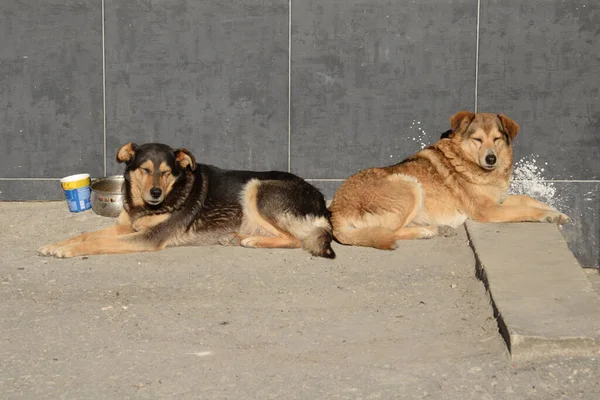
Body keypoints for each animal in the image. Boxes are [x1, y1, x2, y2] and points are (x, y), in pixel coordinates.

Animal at [39, 144, 336, 260]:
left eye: (166, 172)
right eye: (145, 169)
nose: (155, 193)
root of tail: (321, 202)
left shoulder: (146, 238)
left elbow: (96, 242)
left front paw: (68, 250)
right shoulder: (124, 227)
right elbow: (85, 234)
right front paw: (56, 245)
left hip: (256, 188)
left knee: (296, 239)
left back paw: (251, 240)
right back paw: (238, 237)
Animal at [330, 111, 568, 250]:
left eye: (497, 139)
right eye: (478, 139)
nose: (491, 159)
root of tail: (336, 211)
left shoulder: (498, 200)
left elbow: (528, 199)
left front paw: (558, 212)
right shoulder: (488, 211)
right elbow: (524, 210)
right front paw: (548, 216)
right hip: (410, 186)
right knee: (390, 231)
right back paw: (428, 231)